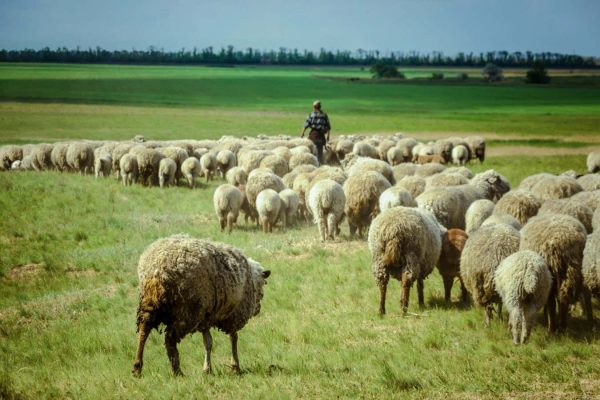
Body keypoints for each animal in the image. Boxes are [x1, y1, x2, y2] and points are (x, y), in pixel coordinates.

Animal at [134, 234, 272, 376]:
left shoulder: (206, 318)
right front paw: (235, 366)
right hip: (186, 311)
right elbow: (234, 338)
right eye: (264, 284)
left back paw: (137, 367)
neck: (252, 278)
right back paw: (177, 371)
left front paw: (207, 369)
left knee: (144, 330)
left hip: (149, 303)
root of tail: (158, 270)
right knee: (169, 339)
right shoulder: (234, 315)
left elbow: (208, 342)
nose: (258, 309)